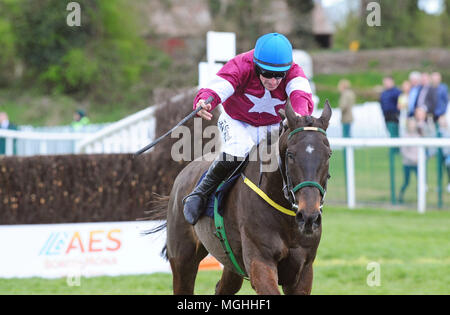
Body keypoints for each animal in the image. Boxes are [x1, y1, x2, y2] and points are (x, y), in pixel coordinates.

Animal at [147, 102, 330, 296]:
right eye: (291, 155)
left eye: (329, 154)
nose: (309, 217)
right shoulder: (260, 261)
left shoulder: (303, 270)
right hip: (183, 258)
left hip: (230, 262)